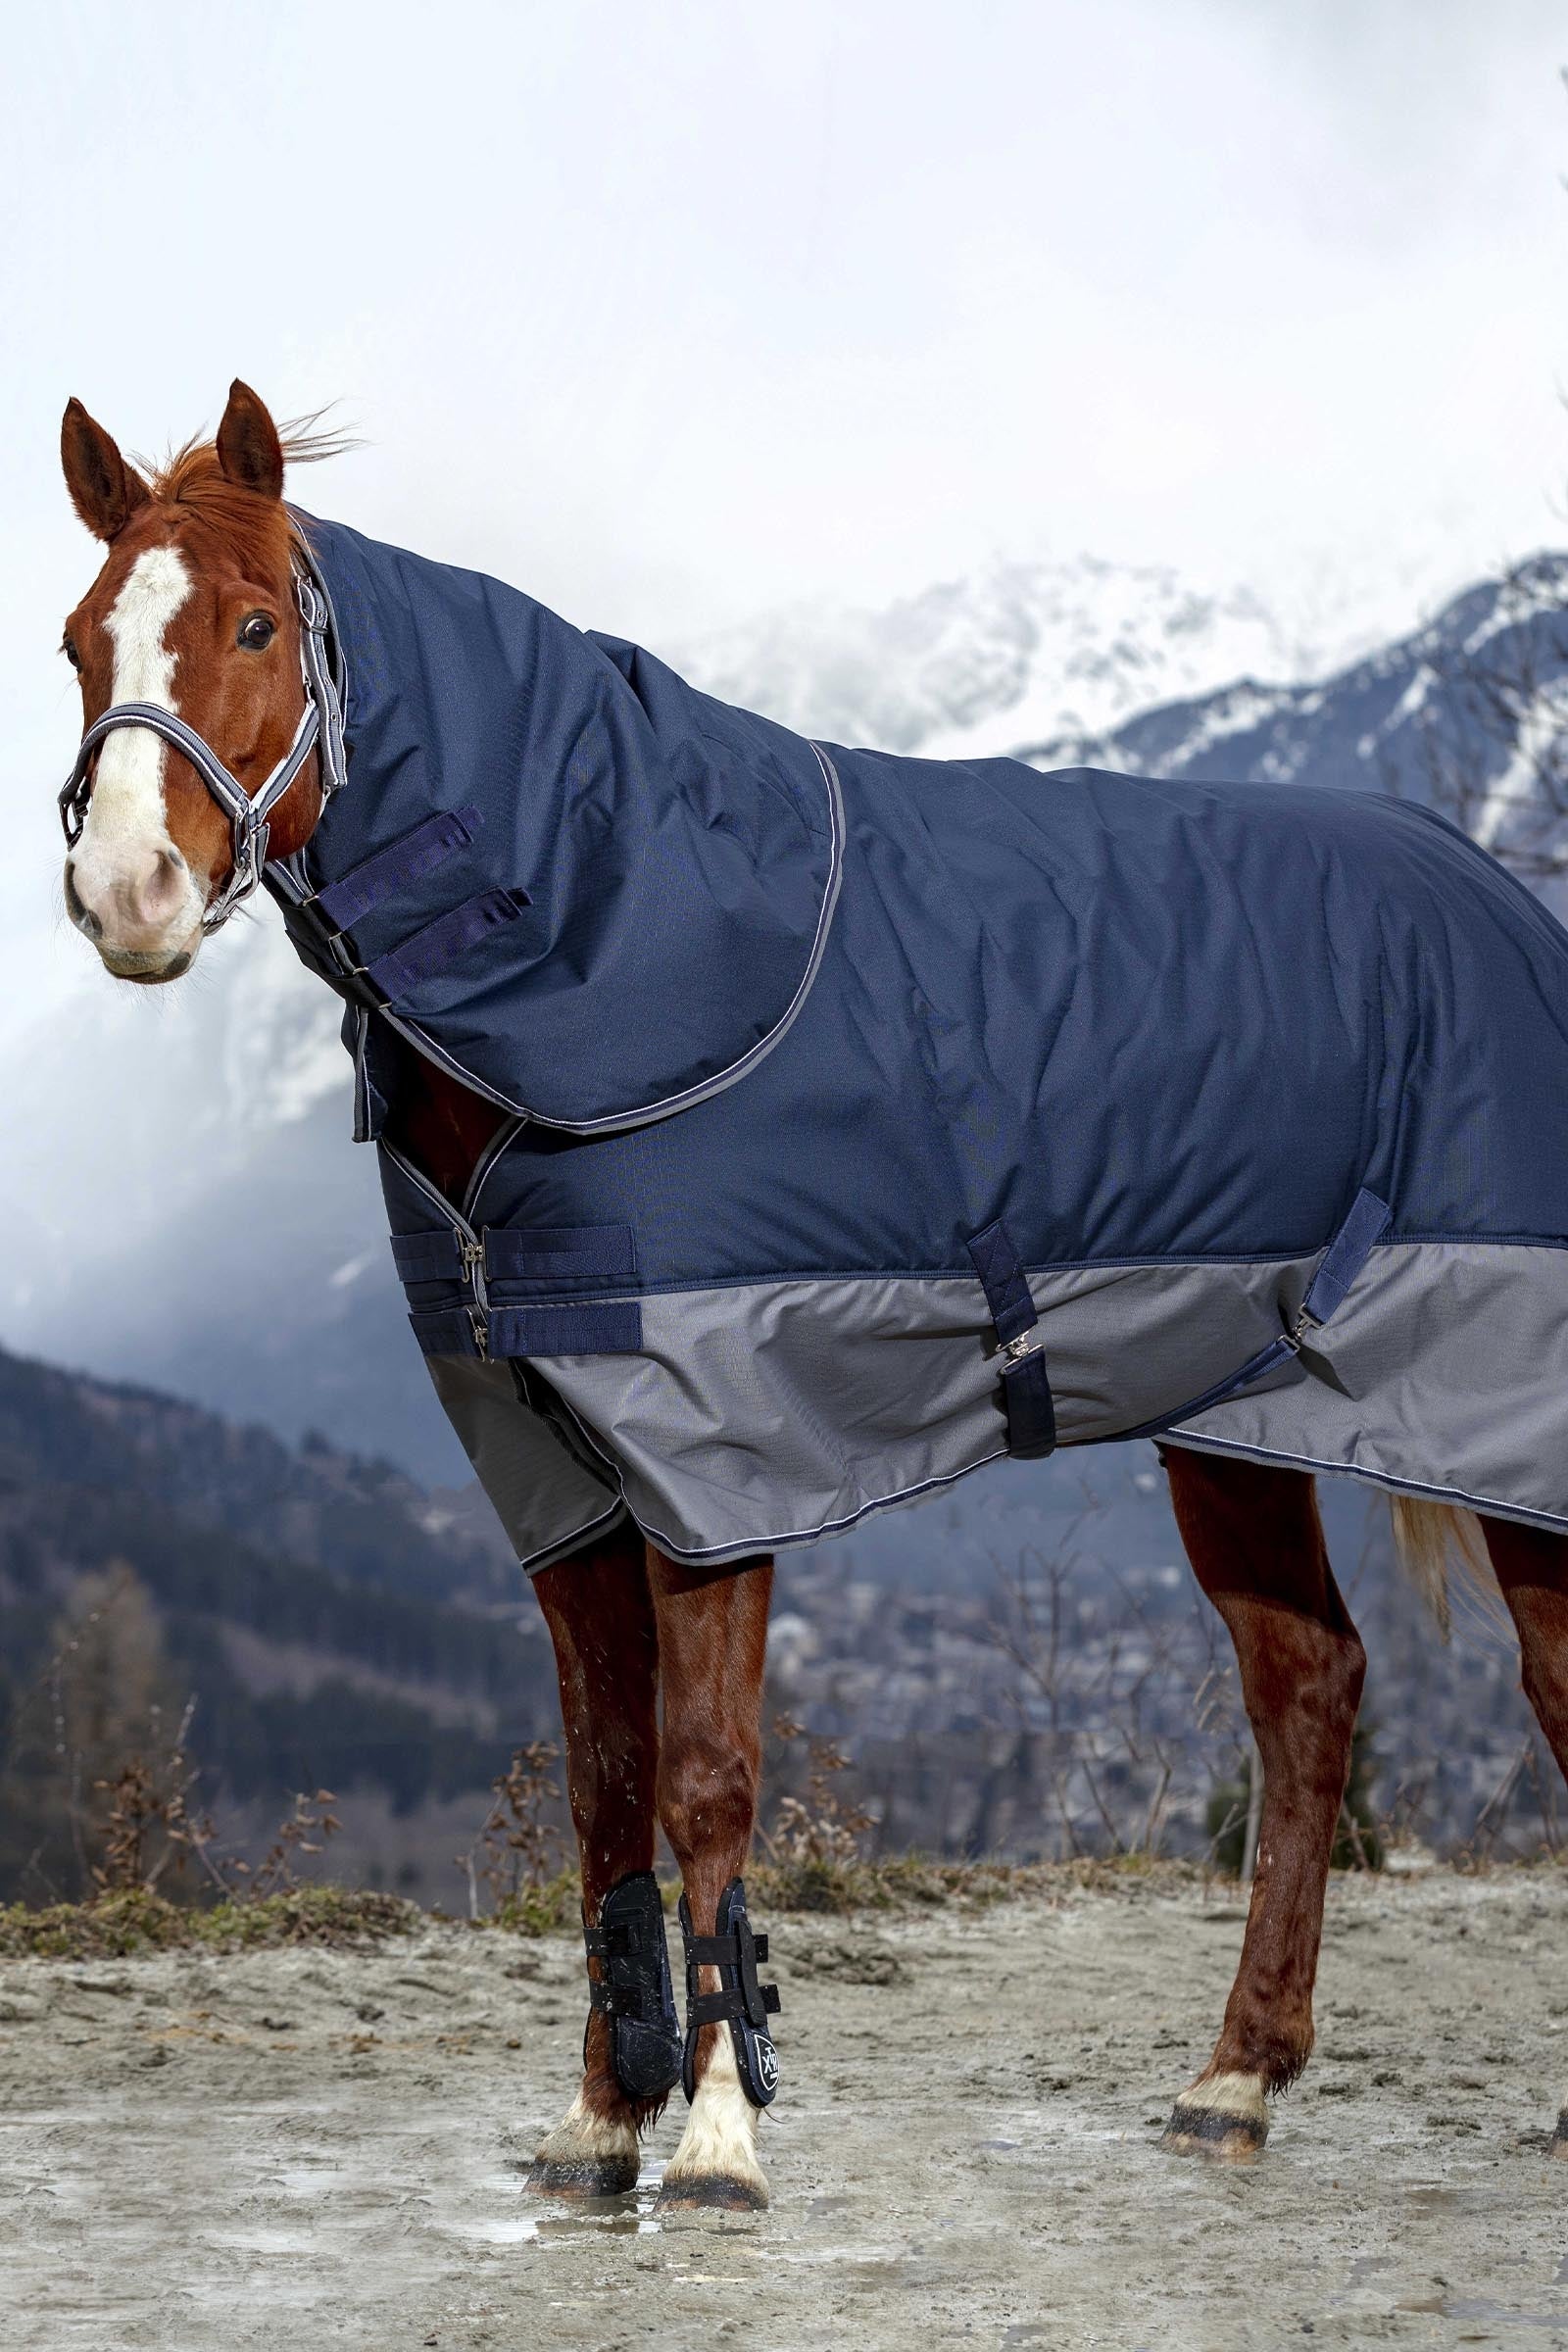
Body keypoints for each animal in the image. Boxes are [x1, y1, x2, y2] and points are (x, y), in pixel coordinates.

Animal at [52, 382, 1568, 2206]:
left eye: (255, 625)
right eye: (79, 640)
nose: (125, 893)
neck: (609, 939)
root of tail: (1504, 905)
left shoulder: (717, 1462)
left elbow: (707, 1784)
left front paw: (717, 2135)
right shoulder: (554, 1477)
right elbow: (605, 1791)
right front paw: (599, 2118)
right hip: (1235, 1426)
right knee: (1309, 1689)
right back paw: (1235, 2079)